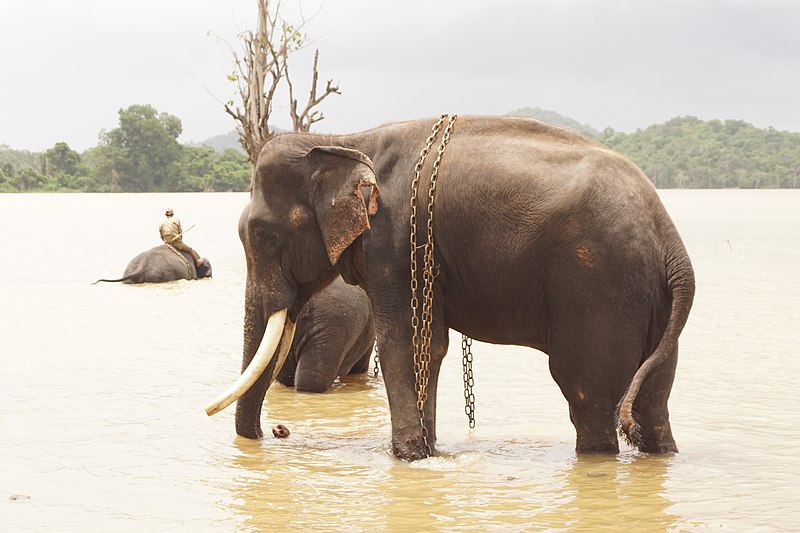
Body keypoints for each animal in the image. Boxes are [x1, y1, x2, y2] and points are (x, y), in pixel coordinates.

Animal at [205, 113, 692, 462]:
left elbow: (404, 343)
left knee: (585, 390)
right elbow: (429, 345)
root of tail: (671, 244)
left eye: (262, 234)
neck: (344, 139)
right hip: (651, 304)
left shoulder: (395, 243)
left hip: (598, 290)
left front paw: (408, 458)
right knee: (653, 400)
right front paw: (427, 451)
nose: (278, 432)